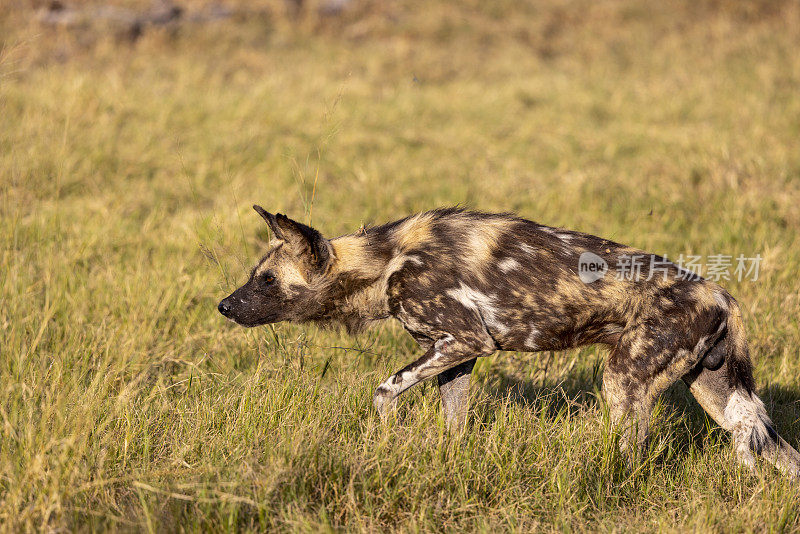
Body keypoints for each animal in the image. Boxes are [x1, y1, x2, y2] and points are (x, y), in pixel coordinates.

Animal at [219, 208, 800, 478]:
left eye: (266, 280)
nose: (223, 306)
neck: (384, 261)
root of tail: (721, 292)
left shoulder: (465, 341)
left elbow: (383, 392)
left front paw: (380, 442)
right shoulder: (456, 356)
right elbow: (452, 425)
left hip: (622, 381)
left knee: (629, 453)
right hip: (722, 398)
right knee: (776, 451)